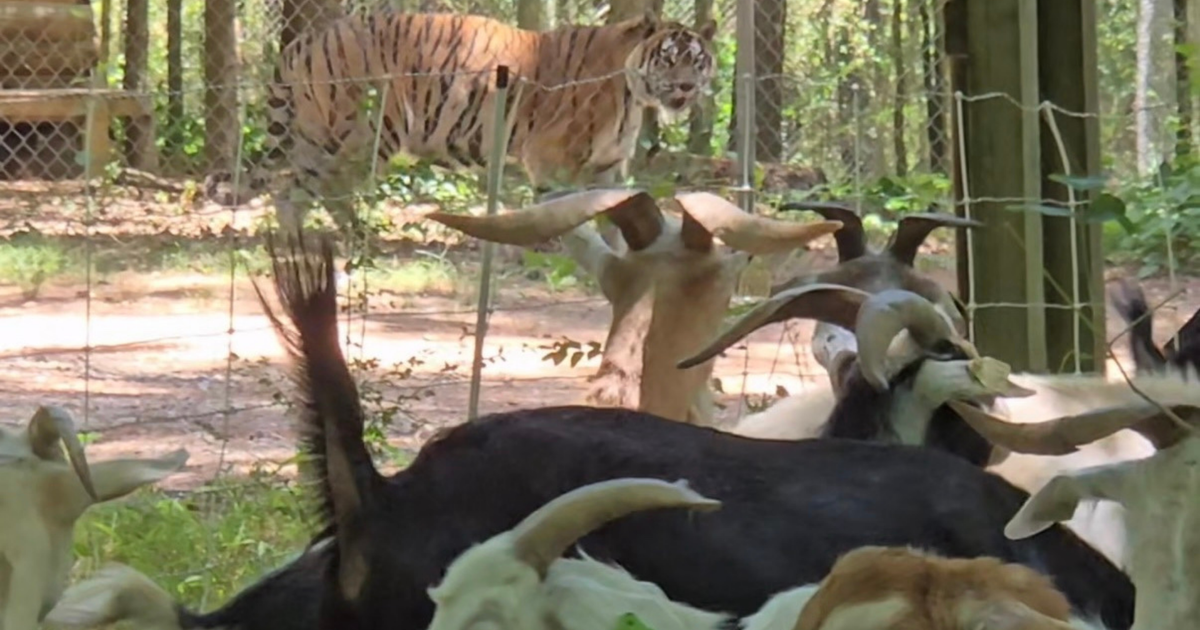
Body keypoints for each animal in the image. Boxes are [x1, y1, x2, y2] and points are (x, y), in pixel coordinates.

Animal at [208, 10, 718, 238]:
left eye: (697, 61)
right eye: (668, 58)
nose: (686, 87)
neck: (633, 93)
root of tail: (307, 40)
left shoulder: (608, 165)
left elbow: (618, 209)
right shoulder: (552, 157)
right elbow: (562, 208)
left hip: (322, 135)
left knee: (294, 190)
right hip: (361, 131)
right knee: (317, 187)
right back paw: (344, 238)